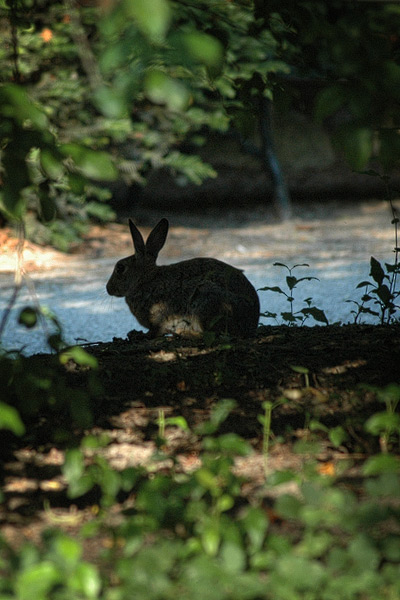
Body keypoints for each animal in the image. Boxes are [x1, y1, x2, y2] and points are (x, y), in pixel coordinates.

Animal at [106, 218, 260, 338]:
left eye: (120, 268)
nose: (108, 288)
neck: (145, 280)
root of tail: (251, 324)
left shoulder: (158, 315)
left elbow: (155, 331)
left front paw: (140, 335)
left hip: (207, 300)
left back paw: (184, 333)